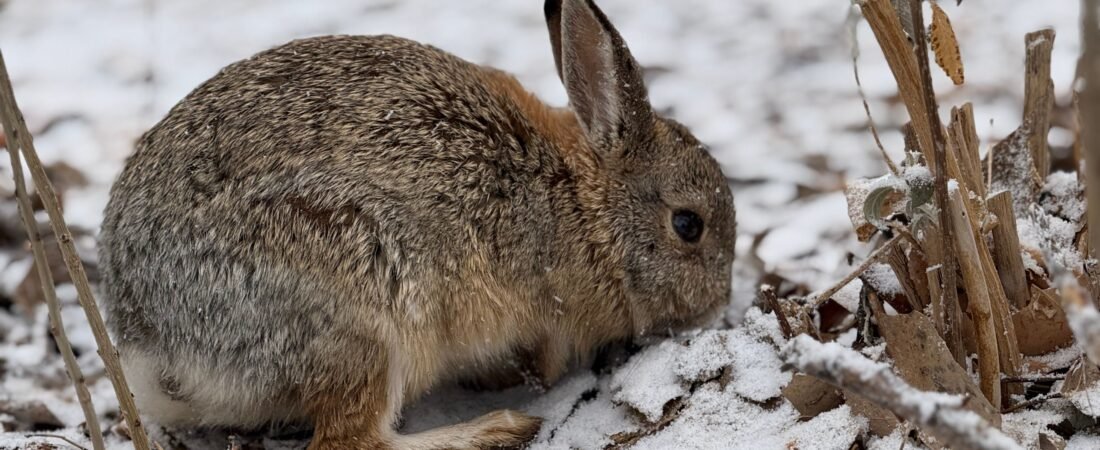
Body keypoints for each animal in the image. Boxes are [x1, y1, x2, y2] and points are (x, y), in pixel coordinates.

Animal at [97, 0, 736, 448]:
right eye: (688, 225)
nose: (718, 301)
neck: (585, 202)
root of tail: (154, 342)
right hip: (361, 315)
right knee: (351, 440)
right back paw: (494, 429)